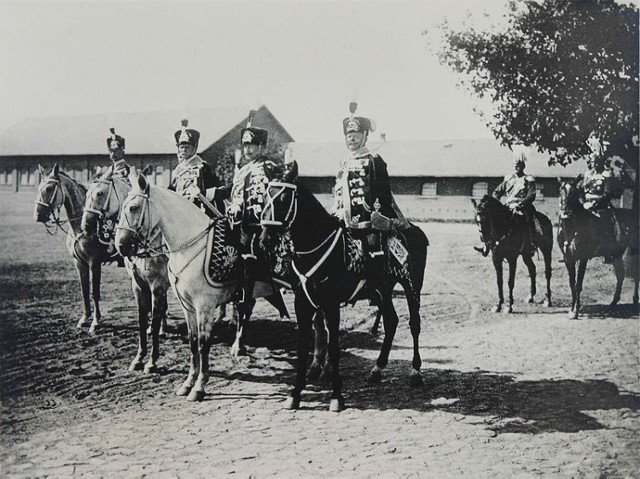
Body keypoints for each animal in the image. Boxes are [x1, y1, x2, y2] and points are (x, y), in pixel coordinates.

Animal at [33, 165, 122, 334]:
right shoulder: (79, 263)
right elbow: (84, 291)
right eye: (38, 188)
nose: (38, 215)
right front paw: (84, 319)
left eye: (49, 188)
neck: (81, 229)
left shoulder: (94, 263)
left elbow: (95, 293)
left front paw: (95, 323)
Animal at [114, 169, 239, 402]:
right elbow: (190, 340)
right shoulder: (173, 300)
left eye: (133, 207)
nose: (120, 245)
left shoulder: (198, 304)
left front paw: (198, 387)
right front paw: (187, 383)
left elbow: (202, 343)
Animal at [258, 164, 428, 412]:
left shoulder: (331, 305)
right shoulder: (303, 305)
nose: (265, 240)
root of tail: (414, 229)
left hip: (411, 286)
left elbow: (334, 347)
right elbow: (303, 347)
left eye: (283, 199)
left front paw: (336, 396)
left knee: (414, 324)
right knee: (391, 322)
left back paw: (415, 372)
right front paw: (295, 394)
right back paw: (377, 369)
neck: (317, 247)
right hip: (383, 290)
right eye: (264, 198)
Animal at [556, 176, 636, 318]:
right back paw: (614, 302)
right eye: (561, 191)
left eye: (574, 192)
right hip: (616, 254)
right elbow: (572, 284)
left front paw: (576, 310)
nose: (566, 213)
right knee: (620, 274)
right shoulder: (568, 259)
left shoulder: (583, 258)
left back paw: (635, 299)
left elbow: (578, 284)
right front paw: (572, 309)